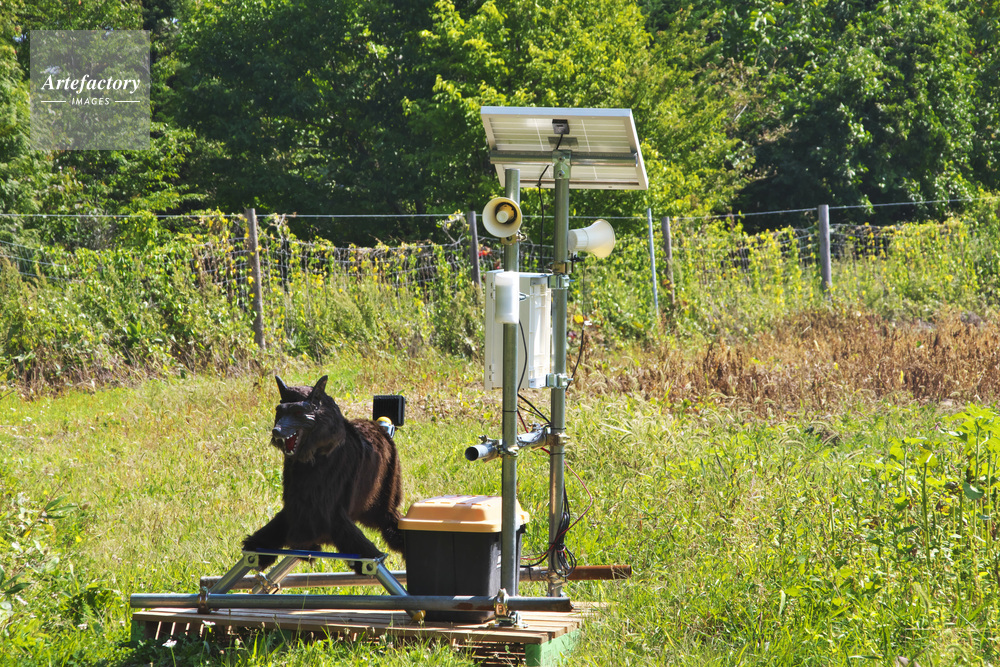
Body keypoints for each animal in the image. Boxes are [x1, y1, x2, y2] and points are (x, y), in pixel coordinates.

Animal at [242, 375, 405, 571]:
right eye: (279, 411)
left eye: (298, 412)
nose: (276, 431)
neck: (313, 460)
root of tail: (379, 427)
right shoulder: (295, 507)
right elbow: (277, 528)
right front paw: (256, 547)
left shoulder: (331, 510)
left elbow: (352, 539)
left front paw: (369, 558)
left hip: (383, 500)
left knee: (390, 519)